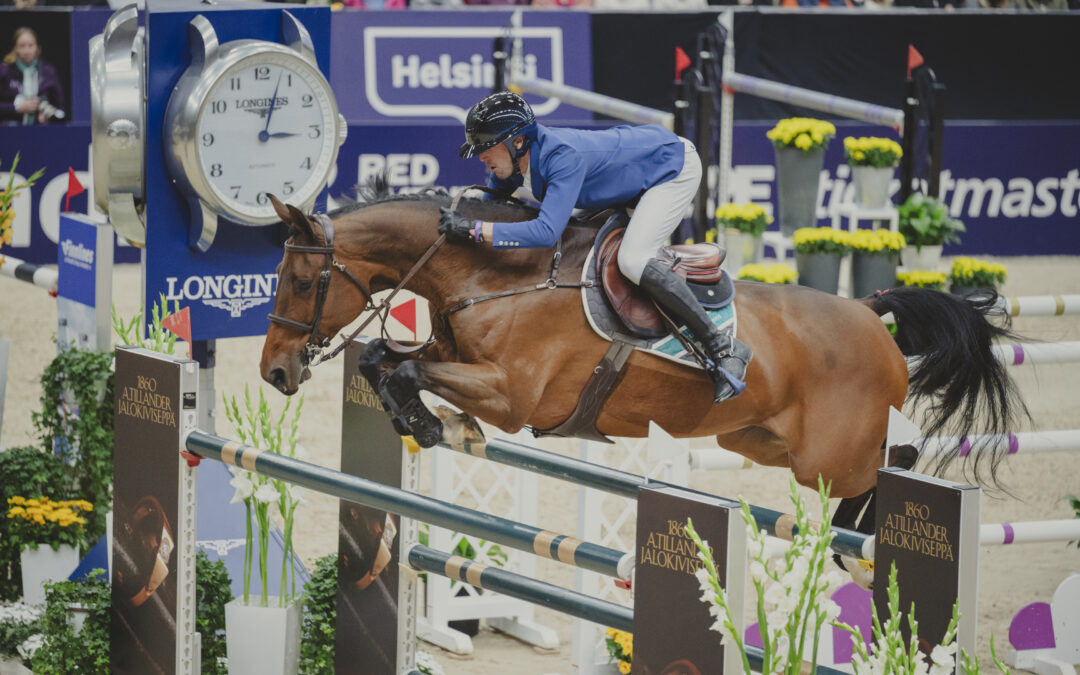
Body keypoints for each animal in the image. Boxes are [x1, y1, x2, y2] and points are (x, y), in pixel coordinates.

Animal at [258, 182, 1028, 526]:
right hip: (760, 442)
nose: (274, 371)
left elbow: (412, 369)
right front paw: (430, 423)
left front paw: (440, 424)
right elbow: (382, 360)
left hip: (831, 461)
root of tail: (869, 314)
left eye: (299, 279)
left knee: (889, 473)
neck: (495, 272)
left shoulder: (514, 395)